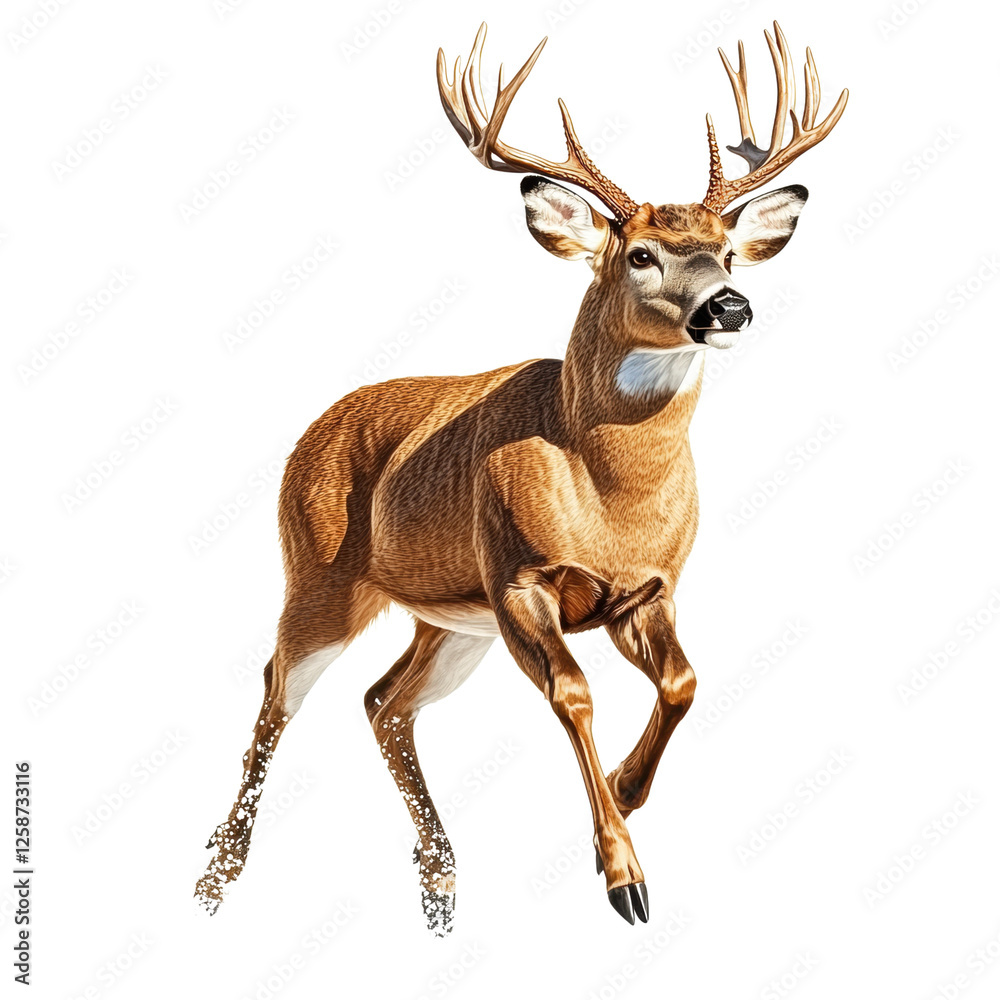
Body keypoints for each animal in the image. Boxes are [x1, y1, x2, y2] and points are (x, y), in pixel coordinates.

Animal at [195, 21, 847, 934]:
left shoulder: (649, 588)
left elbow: (683, 681)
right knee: (279, 687)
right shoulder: (518, 578)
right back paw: (216, 874)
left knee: (384, 701)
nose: (728, 306)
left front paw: (624, 792)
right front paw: (624, 877)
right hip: (321, 575)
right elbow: (574, 694)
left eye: (725, 253)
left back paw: (439, 881)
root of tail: (312, 430)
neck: (609, 496)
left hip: (447, 621)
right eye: (640, 254)